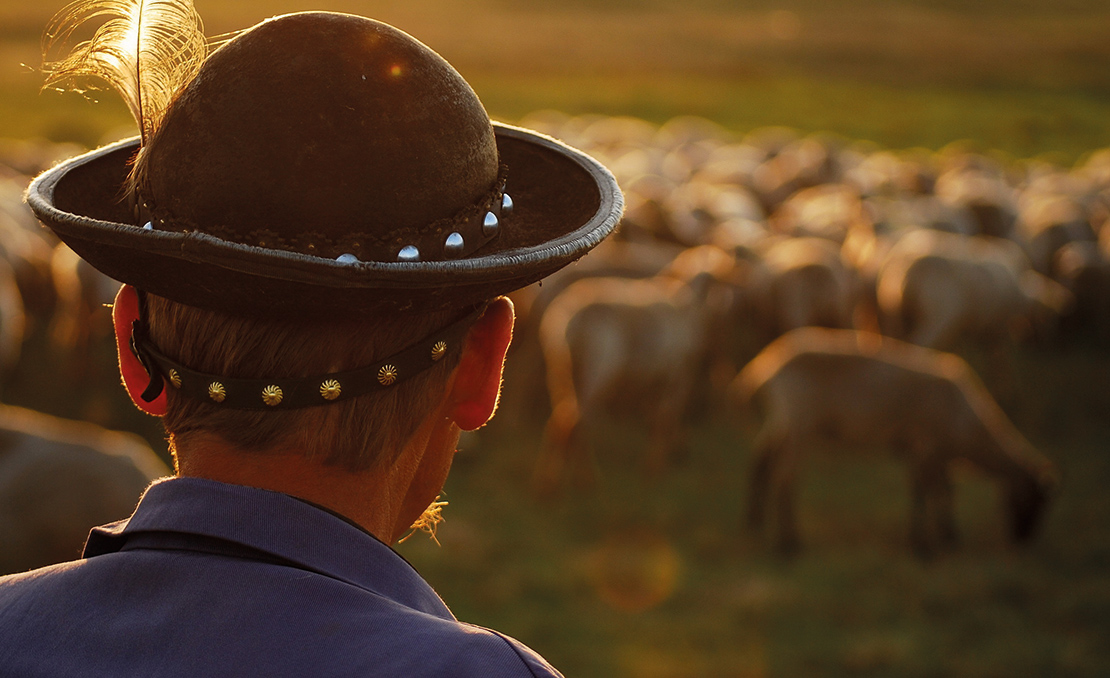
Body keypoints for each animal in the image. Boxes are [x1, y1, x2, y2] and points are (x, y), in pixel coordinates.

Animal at [737, 328, 1056, 557]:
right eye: (1035, 500)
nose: (1024, 539)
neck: (969, 430)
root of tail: (767, 365)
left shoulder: (927, 450)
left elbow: (937, 489)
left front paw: (946, 535)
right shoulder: (927, 444)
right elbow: (930, 491)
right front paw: (927, 545)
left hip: (782, 420)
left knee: (760, 459)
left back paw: (754, 522)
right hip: (798, 421)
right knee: (784, 477)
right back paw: (789, 544)